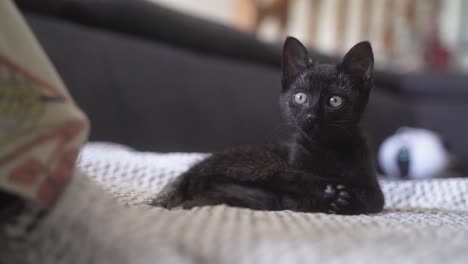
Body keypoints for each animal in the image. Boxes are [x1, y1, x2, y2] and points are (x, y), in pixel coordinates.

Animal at [153, 37, 384, 214]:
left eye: (335, 101)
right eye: (301, 97)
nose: (311, 116)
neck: (326, 148)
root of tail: (193, 170)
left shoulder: (373, 186)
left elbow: (372, 199)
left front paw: (346, 199)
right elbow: (301, 193)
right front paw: (334, 197)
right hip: (261, 161)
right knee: (284, 178)